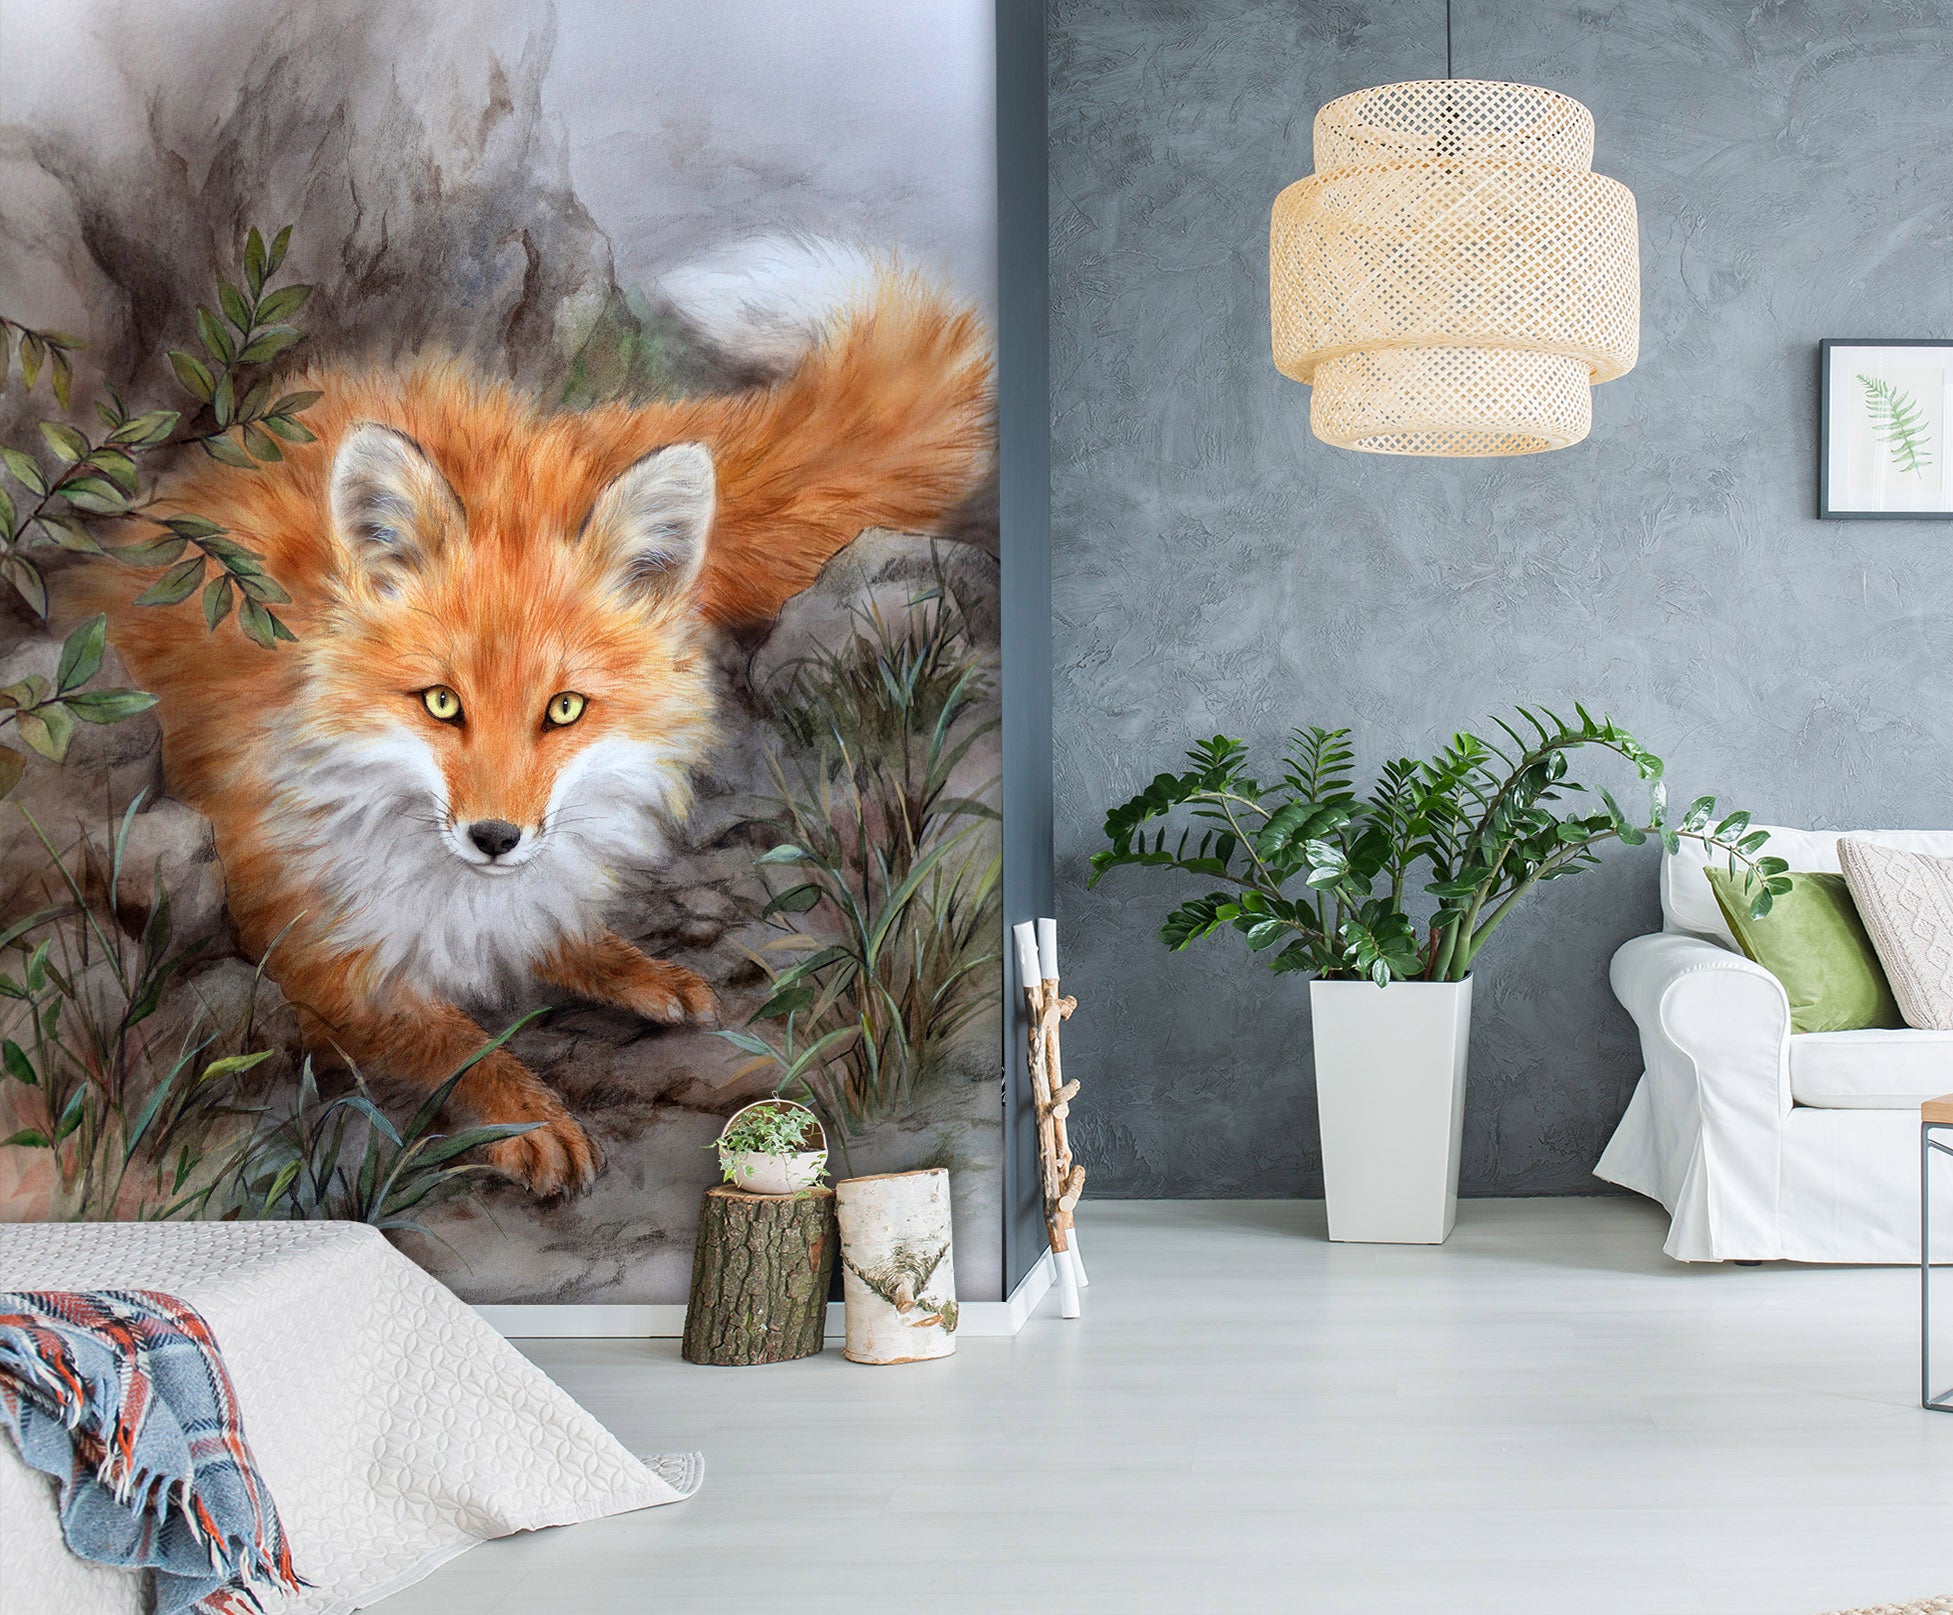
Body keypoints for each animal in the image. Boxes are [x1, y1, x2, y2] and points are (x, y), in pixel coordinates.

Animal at [83, 249, 993, 1196]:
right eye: (441, 703)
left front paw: (614, 962)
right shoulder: (305, 939)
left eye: (563, 708)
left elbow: (548, 928)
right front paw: (526, 1112)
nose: (494, 837)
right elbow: (450, 1040)